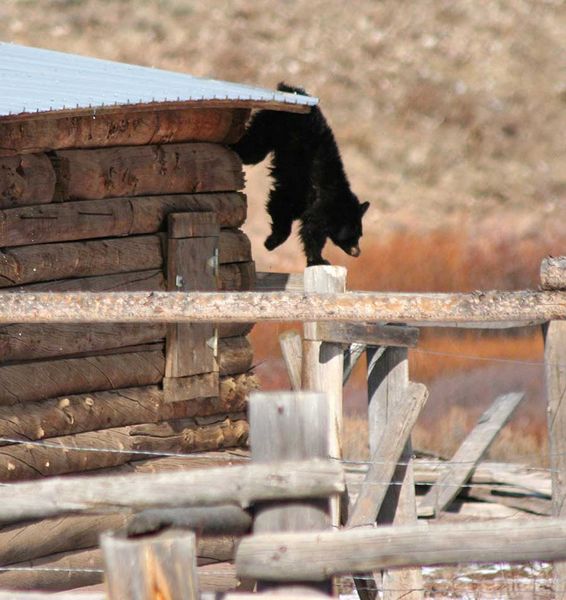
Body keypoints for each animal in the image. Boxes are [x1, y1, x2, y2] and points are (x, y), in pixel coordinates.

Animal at [233, 82, 370, 268]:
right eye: (352, 234)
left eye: (360, 234)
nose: (357, 252)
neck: (333, 197)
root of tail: (289, 89)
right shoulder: (310, 198)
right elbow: (302, 222)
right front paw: (317, 259)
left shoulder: (305, 201)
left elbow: (285, 210)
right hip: (273, 127)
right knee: (252, 149)